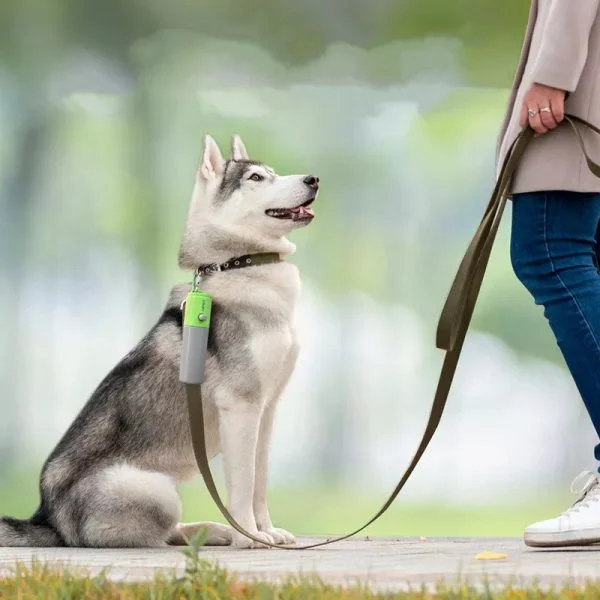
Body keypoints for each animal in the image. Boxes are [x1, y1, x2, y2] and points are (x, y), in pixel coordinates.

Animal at [0, 135, 318, 548]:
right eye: (255, 177)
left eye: (274, 172)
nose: (313, 179)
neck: (241, 263)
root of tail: (48, 518)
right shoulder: (241, 405)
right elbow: (243, 484)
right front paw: (249, 536)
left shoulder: (266, 409)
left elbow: (259, 482)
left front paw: (267, 531)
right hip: (157, 491)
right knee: (155, 535)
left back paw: (209, 531)